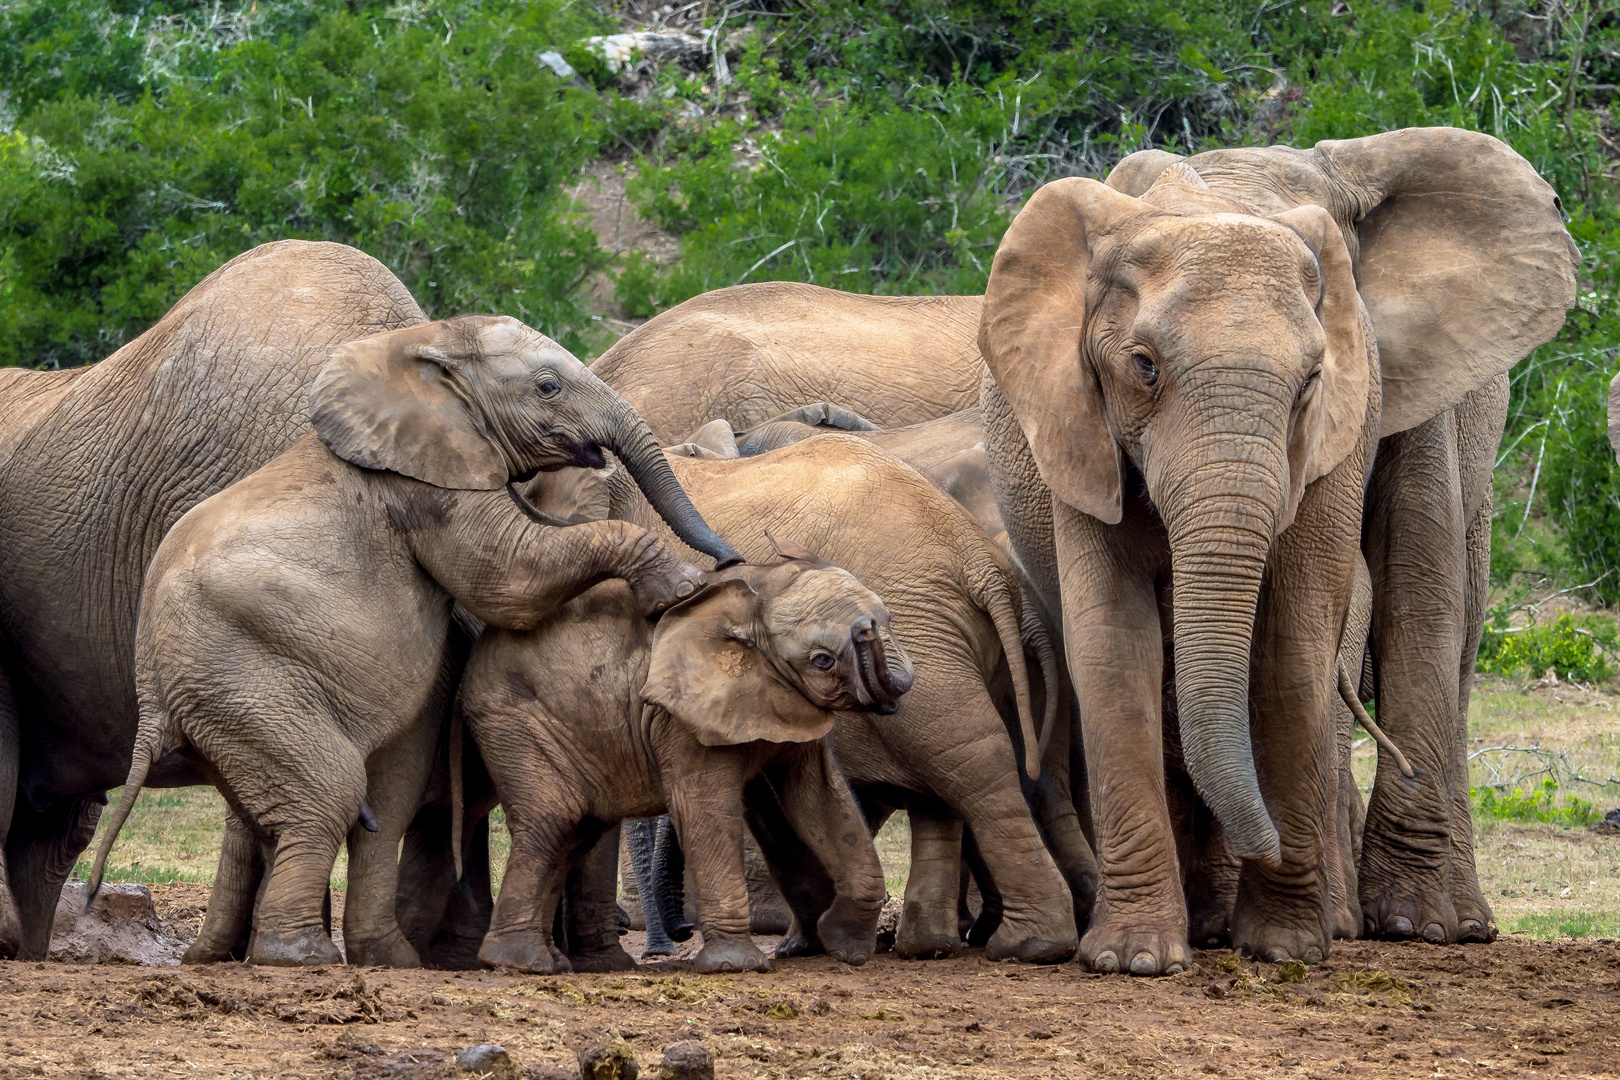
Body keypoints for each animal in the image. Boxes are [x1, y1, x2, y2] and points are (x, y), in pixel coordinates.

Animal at [90, 314, 741, 971]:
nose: (731, 559)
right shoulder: (426, 489)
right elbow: (512, 576)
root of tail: (152, 697)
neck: (426, 345)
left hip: (226, 701)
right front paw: (682, 587)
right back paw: (306, 955)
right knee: (334, 791)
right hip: (245, 677)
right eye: (548, 387)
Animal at [460, 544, 913, 977]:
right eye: (822, 660)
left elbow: (822, 798)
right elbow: (705, 808)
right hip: (513, 721)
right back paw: (522, 963)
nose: (866, 627)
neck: (757, 594)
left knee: (576, 832)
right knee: (556, 820)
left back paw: (551, 962)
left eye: (889, 619)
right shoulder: (679, 715)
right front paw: (736, 966)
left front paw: (849, 949)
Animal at [978, 127, 1574, 971]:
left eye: (1311, 378)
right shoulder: (1079, 420)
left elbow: (1351, 610)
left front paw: (1310, 943)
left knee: (1452, 643)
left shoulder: (1375, 395)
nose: (1264, 845)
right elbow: (1114, 636)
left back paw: (1430, 924)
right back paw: (1215, 920)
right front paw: (1136, 959)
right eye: (1143, 367)